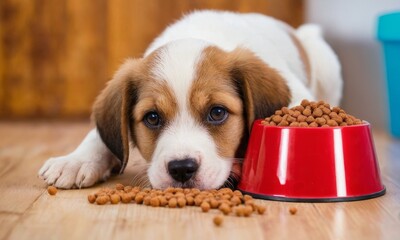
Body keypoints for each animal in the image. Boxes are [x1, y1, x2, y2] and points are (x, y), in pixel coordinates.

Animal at [38, 10, 344, 189]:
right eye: (152, 117)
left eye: (217, 113)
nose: (182, 169)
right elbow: (97, 135)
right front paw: (77, 160)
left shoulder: (300, 97)